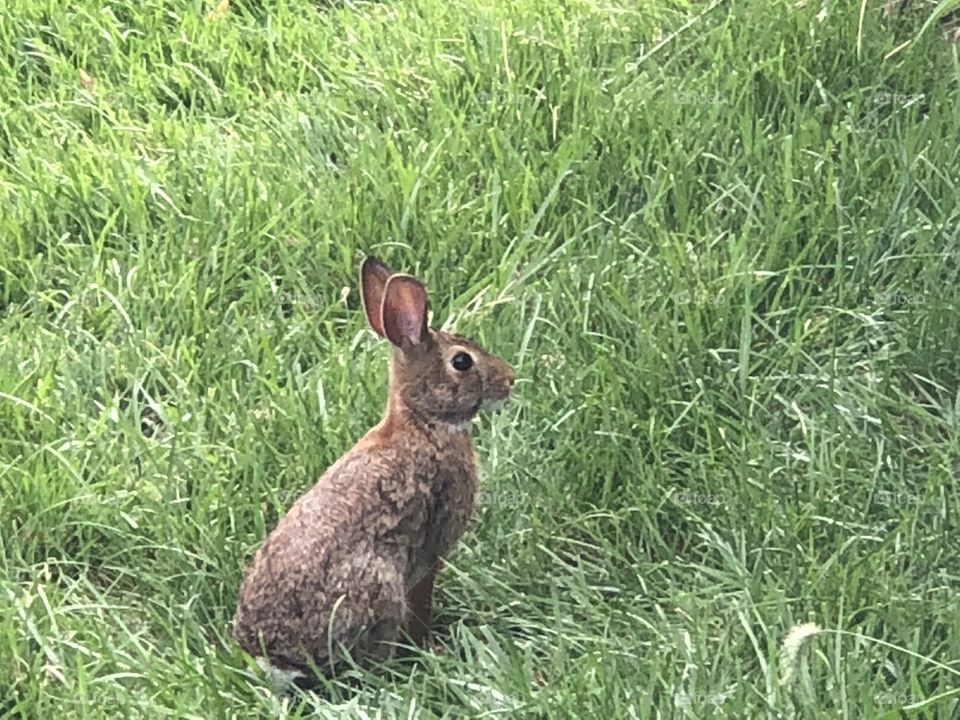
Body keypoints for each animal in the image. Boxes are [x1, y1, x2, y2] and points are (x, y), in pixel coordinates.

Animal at [231, 256, 516, 684]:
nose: (510, 380)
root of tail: (277, 659)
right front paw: (429, 644)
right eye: (462, 361)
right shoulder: (430, 551)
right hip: (379, 585)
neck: (421, 421)